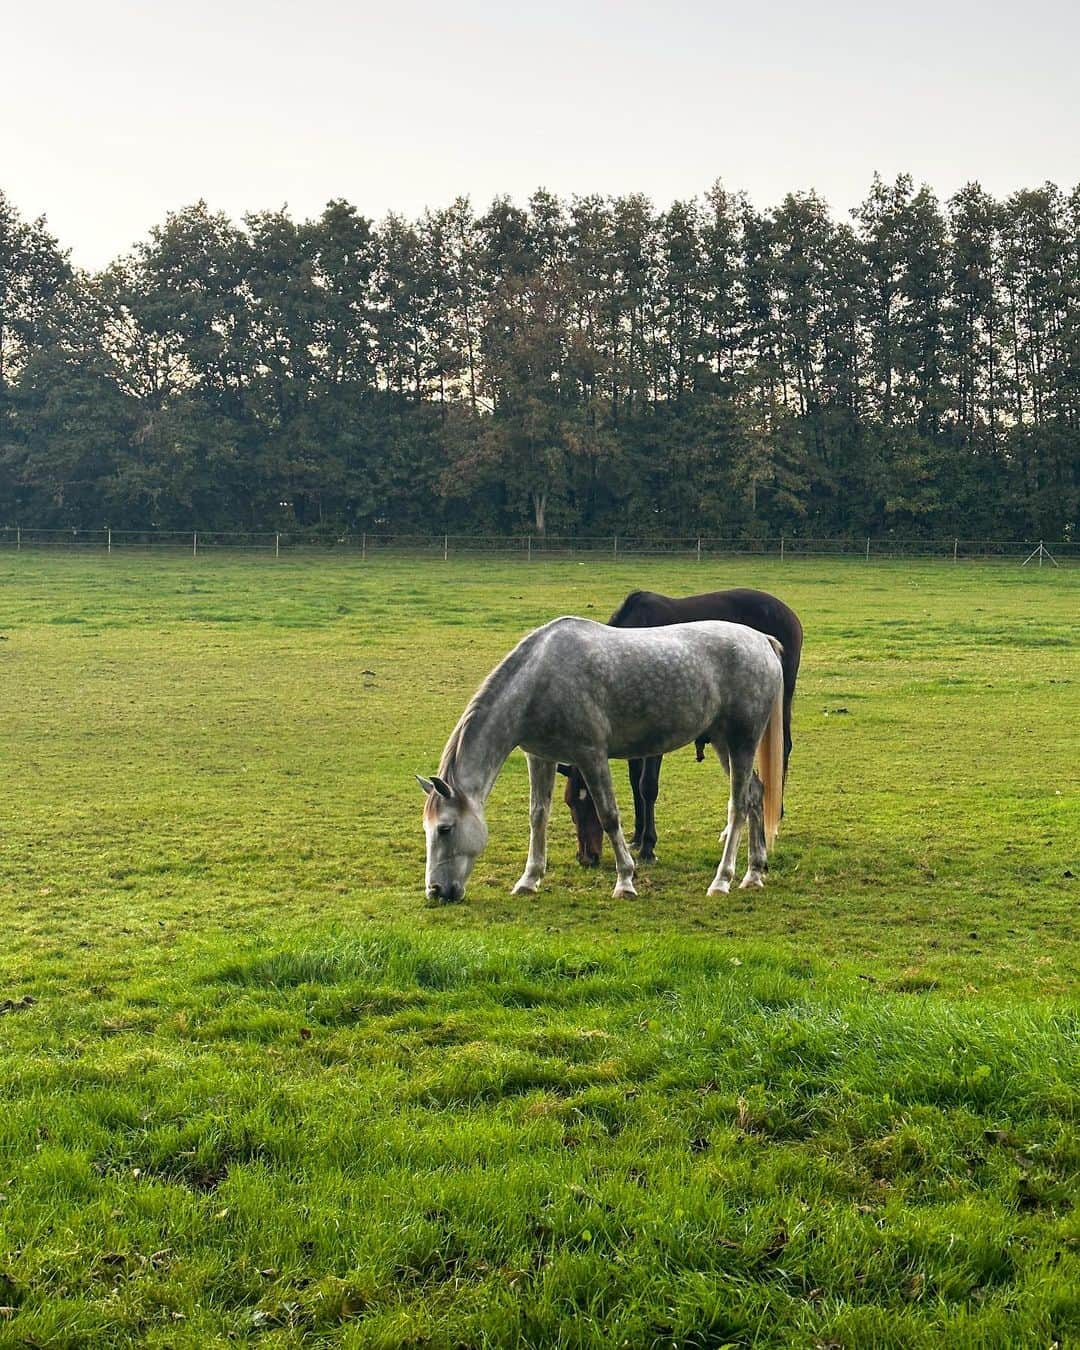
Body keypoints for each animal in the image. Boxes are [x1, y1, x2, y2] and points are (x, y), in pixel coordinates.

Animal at [415, 618, 783, 901]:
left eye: (445, 828)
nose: (436, 891)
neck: (539, 681)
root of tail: (762, 641)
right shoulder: (540, 756)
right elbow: (538, 816)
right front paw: (529, 880)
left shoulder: (591, 754)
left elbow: (608, 816)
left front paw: (625, 881)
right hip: (723, 743)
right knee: (755, 794)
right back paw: (754, 873)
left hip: (742, 741)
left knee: (738, 805)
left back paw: (722, 880)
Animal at [564, 588, 799, 864]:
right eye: (569, 804)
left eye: (586, 802)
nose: (586, 857)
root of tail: (787, 614)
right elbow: (634, 783)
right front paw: (638, 836)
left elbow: (647, 786)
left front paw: (648, 845)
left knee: (782, 752)